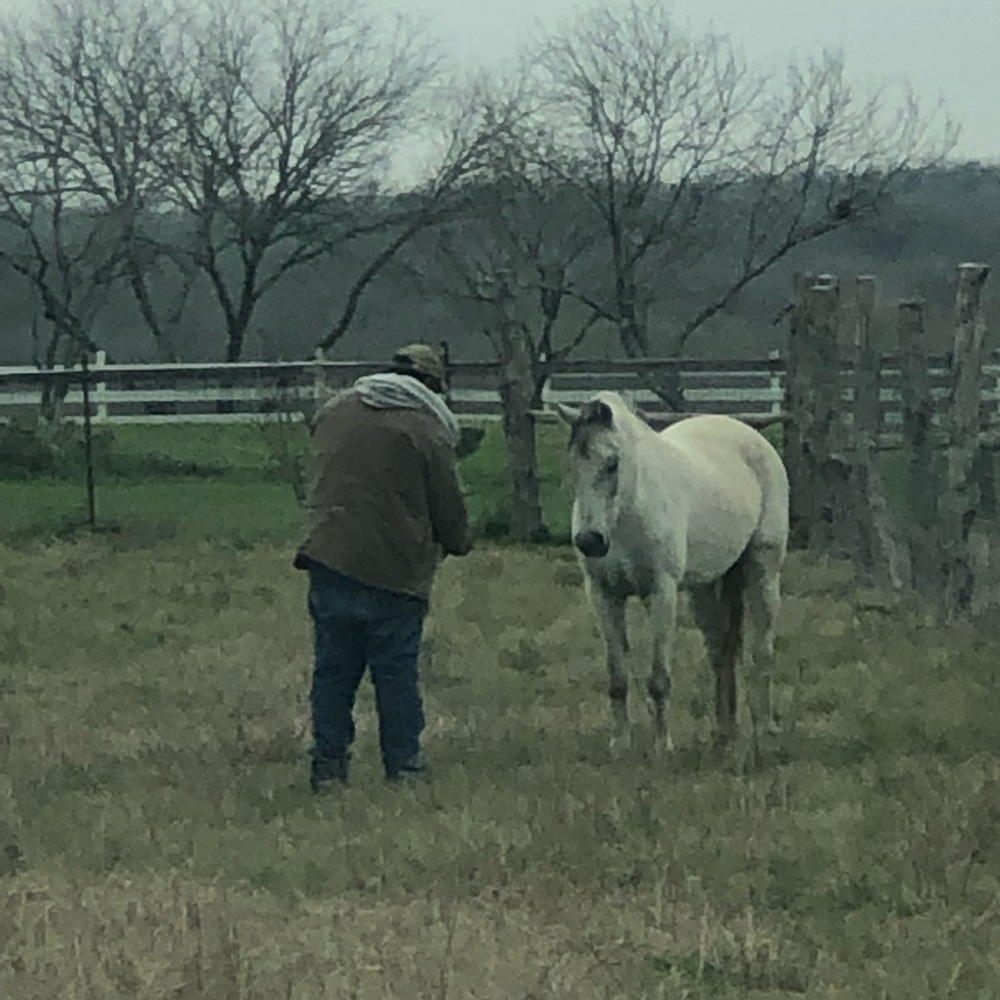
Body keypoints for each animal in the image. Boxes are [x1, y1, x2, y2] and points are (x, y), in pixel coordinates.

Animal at [554, 391, 789, 754]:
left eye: (612, 463)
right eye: (572, 465)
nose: (589, 541)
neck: (629, 512)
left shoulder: (661, 593)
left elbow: (659, 679)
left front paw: (662, 747)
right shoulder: (603, 595)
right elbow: (618, 677)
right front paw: (620, 745)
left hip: (763, 570)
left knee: (760, 652)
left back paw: (764, 730)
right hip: (704, 588)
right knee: (721, 652)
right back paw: (724, 734)